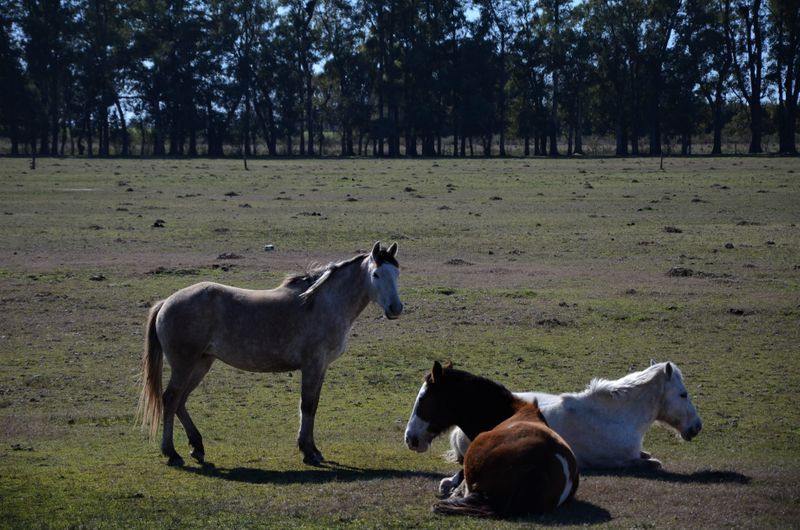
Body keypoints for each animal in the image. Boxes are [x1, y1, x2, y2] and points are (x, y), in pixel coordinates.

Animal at [138, 241, 404, 464]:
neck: (322, 303)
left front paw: (313, 449)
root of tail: (166, 302)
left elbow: (313, 406)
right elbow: (307, 406)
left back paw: (197, 447)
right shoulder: (313, 365)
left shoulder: (320, 368)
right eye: (376, 274)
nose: (396, 308)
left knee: (180, 401)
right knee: (171, 399)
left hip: (201, 363)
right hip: (184, 365)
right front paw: (308, 452)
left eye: (397, 273)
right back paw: (172, 453)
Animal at [440, 358, 704, 496]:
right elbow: (654, 463)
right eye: (683, 394)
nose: (696, 427)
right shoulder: (620, 461)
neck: (615, 417)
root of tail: (458, 430)